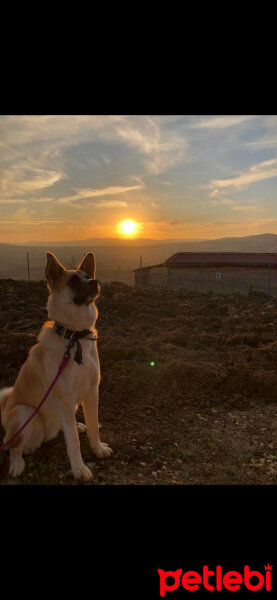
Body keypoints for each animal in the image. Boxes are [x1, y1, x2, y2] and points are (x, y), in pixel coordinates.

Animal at [0, 251, 112, 480]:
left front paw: (97, 449)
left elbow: (94, 426)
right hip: (24, 412)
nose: (95, 282)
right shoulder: (65, 397)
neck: (74, 336)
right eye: (73, 281)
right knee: (13, 447)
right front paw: (79, 469)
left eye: (88, 275)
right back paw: (17, 464)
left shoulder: (92, 391)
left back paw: (78, 425)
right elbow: (74, 442)